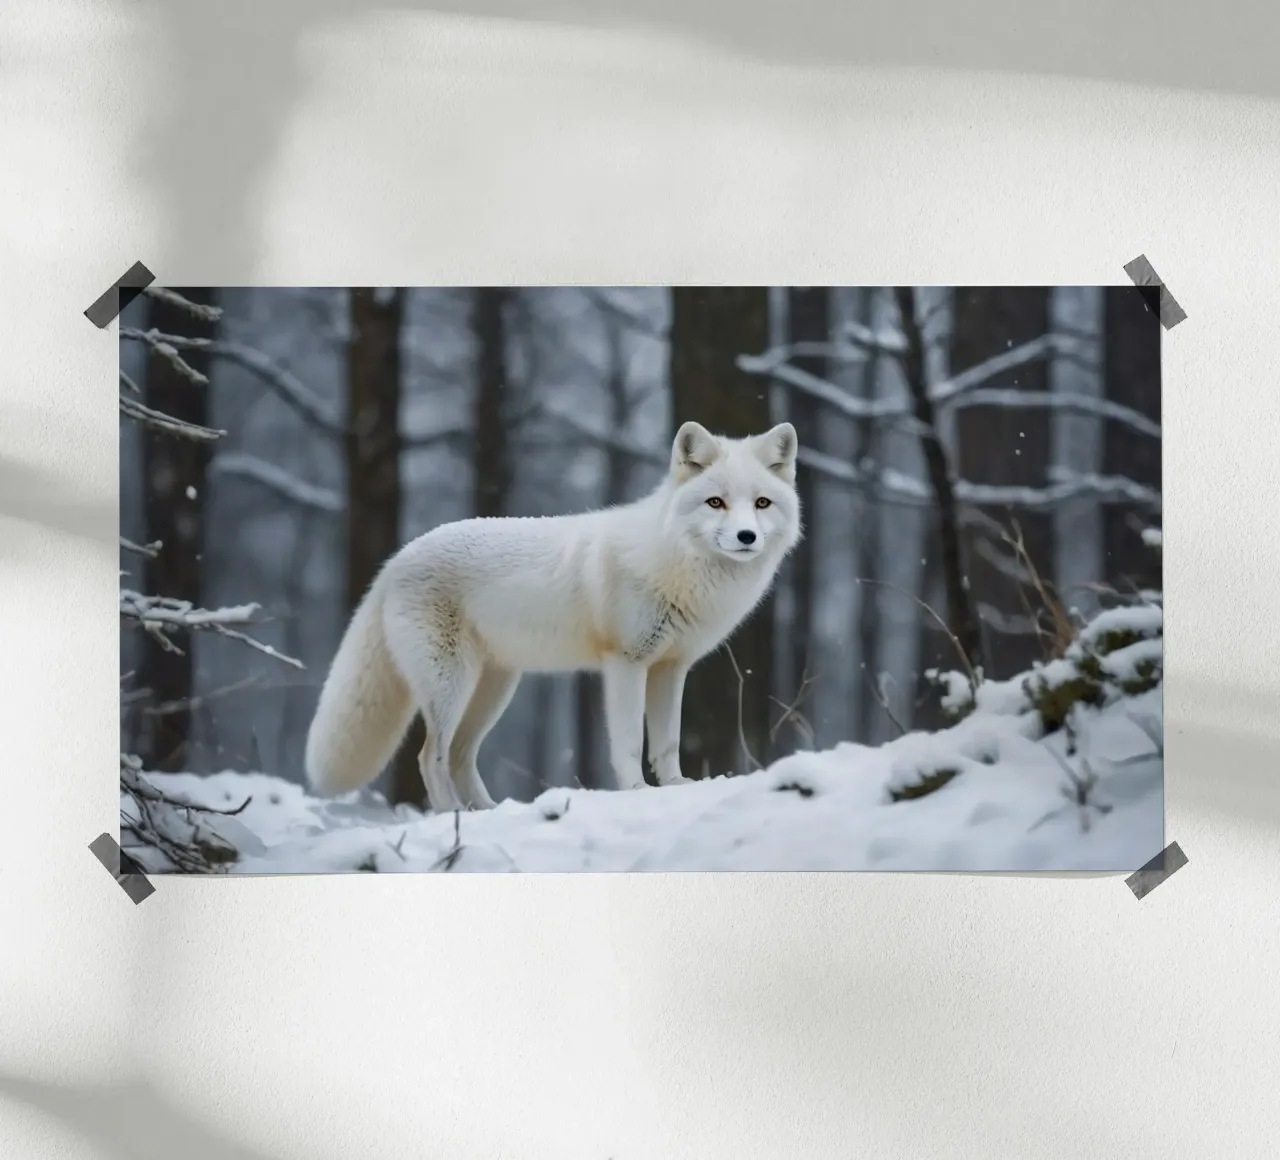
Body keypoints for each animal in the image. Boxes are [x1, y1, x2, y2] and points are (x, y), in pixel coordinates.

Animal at [304, 419, 802, 813]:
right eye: (716, 502)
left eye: (761, 503)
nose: (746, 536)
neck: (673, 563)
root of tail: (396, 560)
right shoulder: (626, 664)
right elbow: (629, 743)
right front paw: (637, 792)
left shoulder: (670, 667)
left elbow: (668, 743)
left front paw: (677, 787)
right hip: (451, 685)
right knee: (430, 757)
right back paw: (453, 816)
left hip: (495, 689)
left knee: (461, 755)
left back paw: (488, 812)